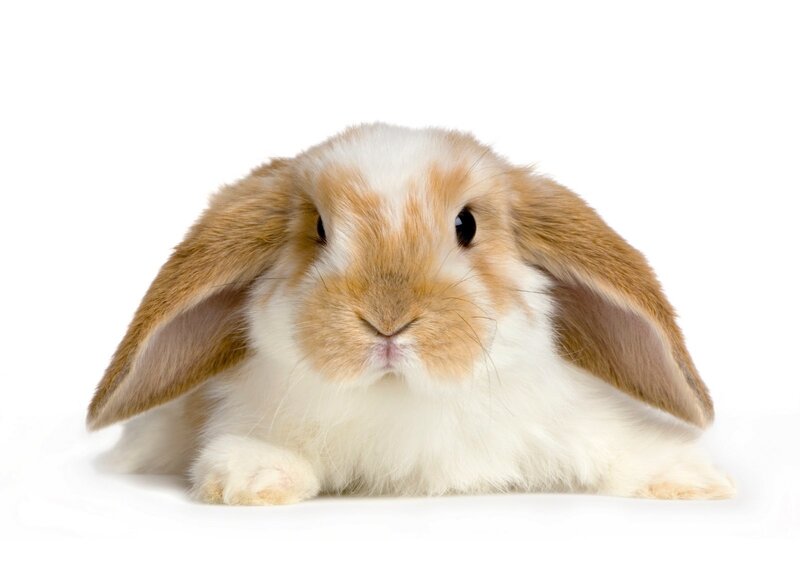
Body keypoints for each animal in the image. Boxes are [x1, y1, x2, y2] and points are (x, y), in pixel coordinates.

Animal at [88, 123, 734, 505]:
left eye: (466, 224)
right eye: (318, 229)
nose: (388, 320)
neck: (403, 396)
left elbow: (621, 449)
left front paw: (695, 479)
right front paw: (253, 478)